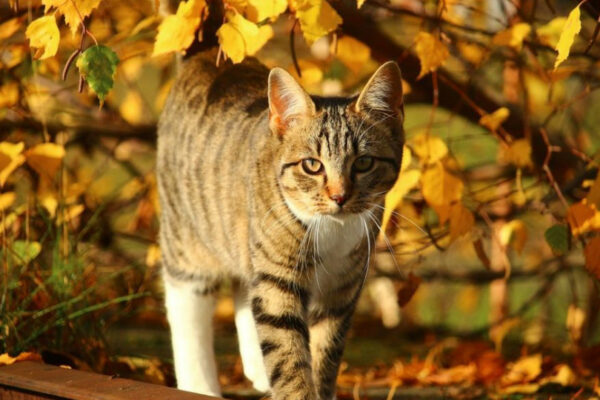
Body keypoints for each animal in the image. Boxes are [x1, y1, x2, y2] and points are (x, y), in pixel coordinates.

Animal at [157, 49, 406, 400]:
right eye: (312, 165)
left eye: (364, 163)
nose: (339, 196)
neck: (331, 230)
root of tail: (206, 55)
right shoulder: (279, 274)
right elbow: (287, 352)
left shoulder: (341, 291)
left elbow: (323, 354)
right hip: (187, 236)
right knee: (187, 305)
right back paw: (200, 385)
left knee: (245, 287)